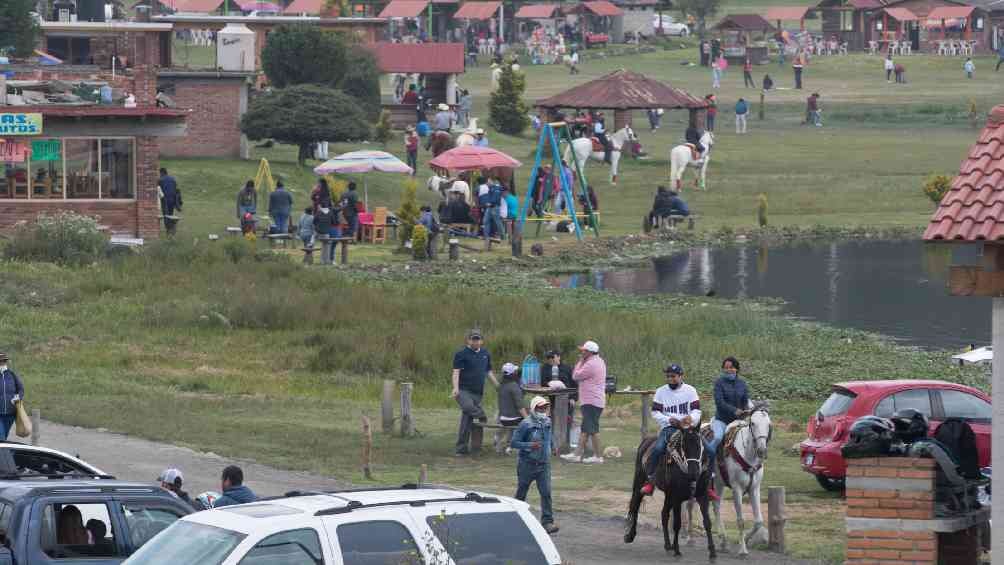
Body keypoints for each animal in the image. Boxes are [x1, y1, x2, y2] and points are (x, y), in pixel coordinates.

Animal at [622, 429, 718, 561]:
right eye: (683, 446)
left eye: (699, 446)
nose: (694, 472)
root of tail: (646, 441)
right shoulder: (677, 497)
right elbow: (677, 523)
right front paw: (677, 550)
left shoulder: (702, 496)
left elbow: (707, 522)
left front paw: (712, 552)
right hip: (639, 482)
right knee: (635, 505)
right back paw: (630, 535)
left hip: (668, 494)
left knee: (664, 514)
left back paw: (668, 546)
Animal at [690, 405, 775, 557]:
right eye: (753, 423)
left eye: (768, 424)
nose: (761, 450)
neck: (747, 454)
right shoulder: (737, 488)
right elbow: (740, 520)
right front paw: (743, 550)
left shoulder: (754, 488)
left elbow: (758, 521)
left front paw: (746, 539)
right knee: (691, 503)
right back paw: (690, 538)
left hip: (718, 483)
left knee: (716, 506)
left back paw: (723, 541)